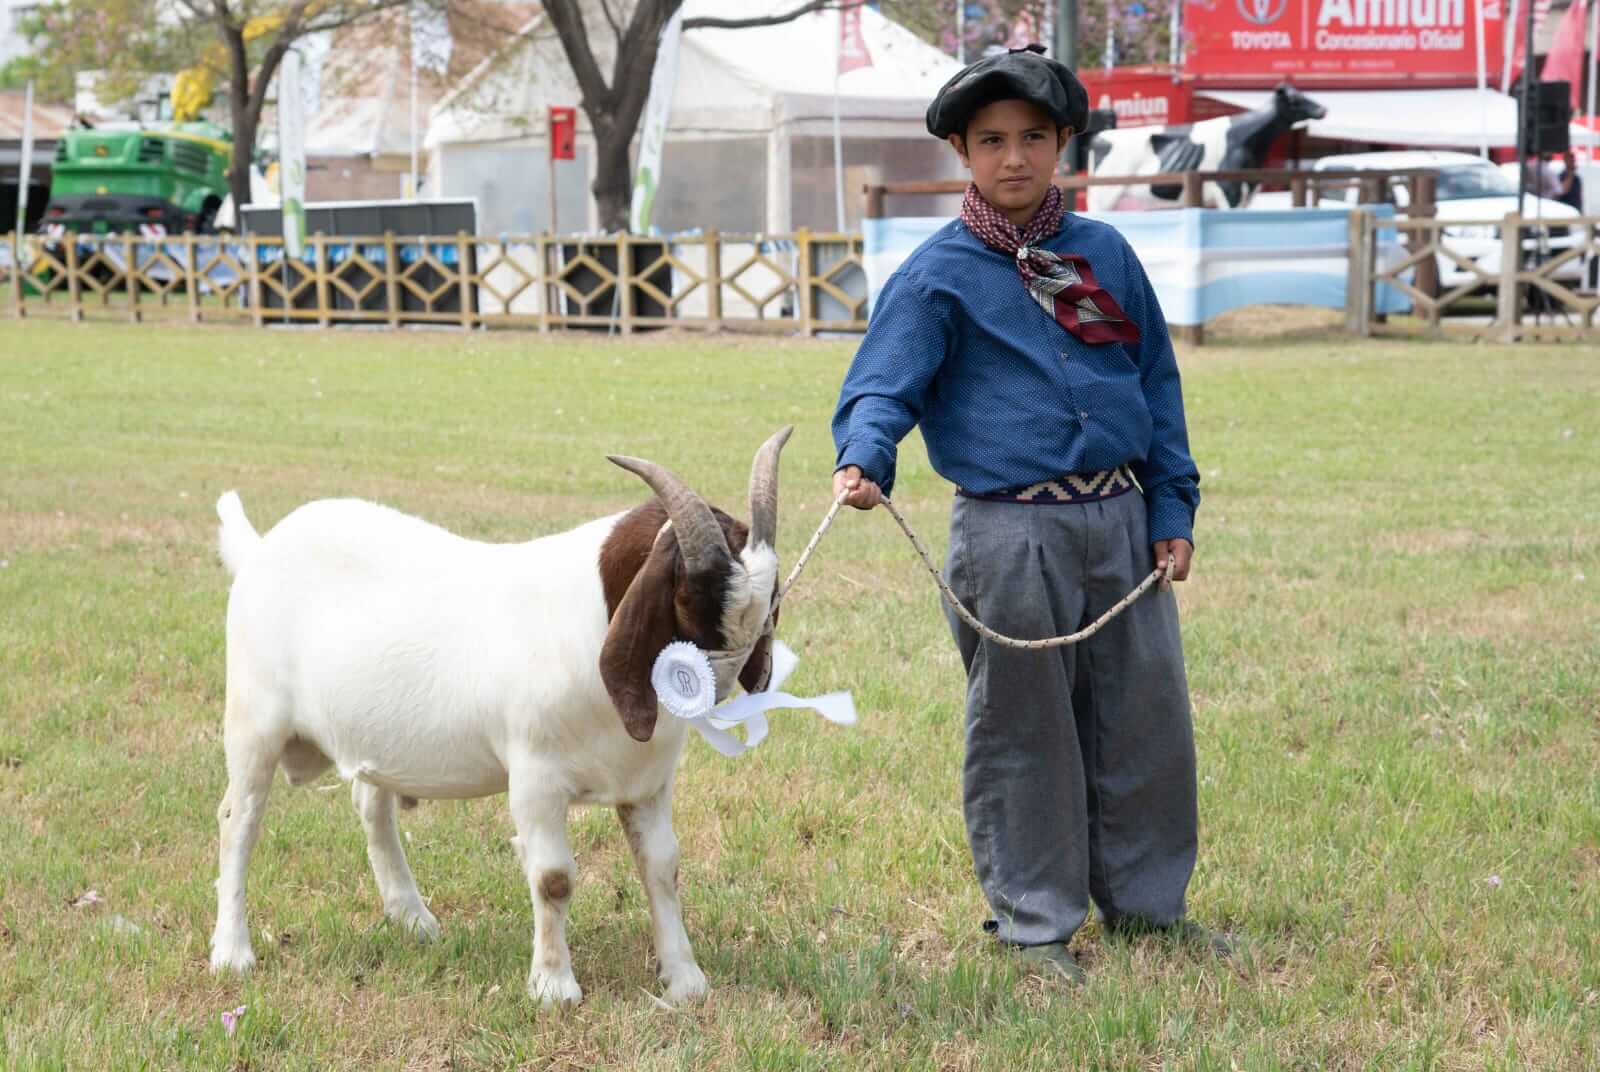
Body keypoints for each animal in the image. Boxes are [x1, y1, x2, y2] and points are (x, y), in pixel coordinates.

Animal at [208, 427, 792, 1006]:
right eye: (690, 599)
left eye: (767, 608)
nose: (714, 693)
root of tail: (259, 548)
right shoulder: (536, 777)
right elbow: (554, 878)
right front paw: (554, 987)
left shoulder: (645, 783)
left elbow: (663, 867)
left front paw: (685, 980)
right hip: (253, 720)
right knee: (240, 820)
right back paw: (232, 952)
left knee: (372, 807)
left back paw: (413, 919)